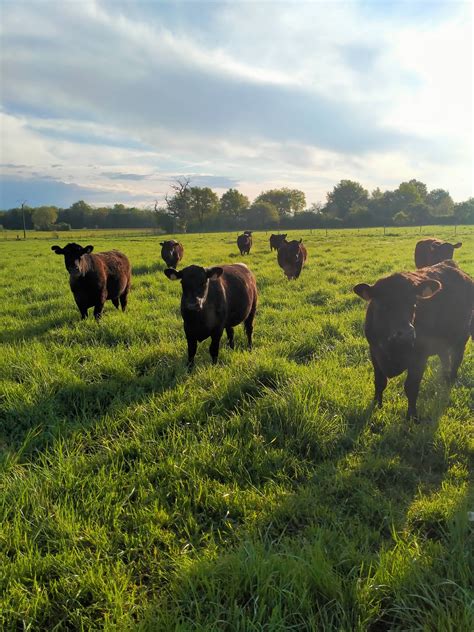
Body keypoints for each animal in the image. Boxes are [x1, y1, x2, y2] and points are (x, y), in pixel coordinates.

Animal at [354, 262, 472, 420]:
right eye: (382, 305)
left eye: (414, 303)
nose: (406, 333)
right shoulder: (374, 352)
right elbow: (379, 382)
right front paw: (376, 405)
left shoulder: (419, 357)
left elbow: (411, 387)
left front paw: (412, 416)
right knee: (445, 358)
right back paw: (444, 378)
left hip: (462, 337)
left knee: (456, 360)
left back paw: (449, 382)